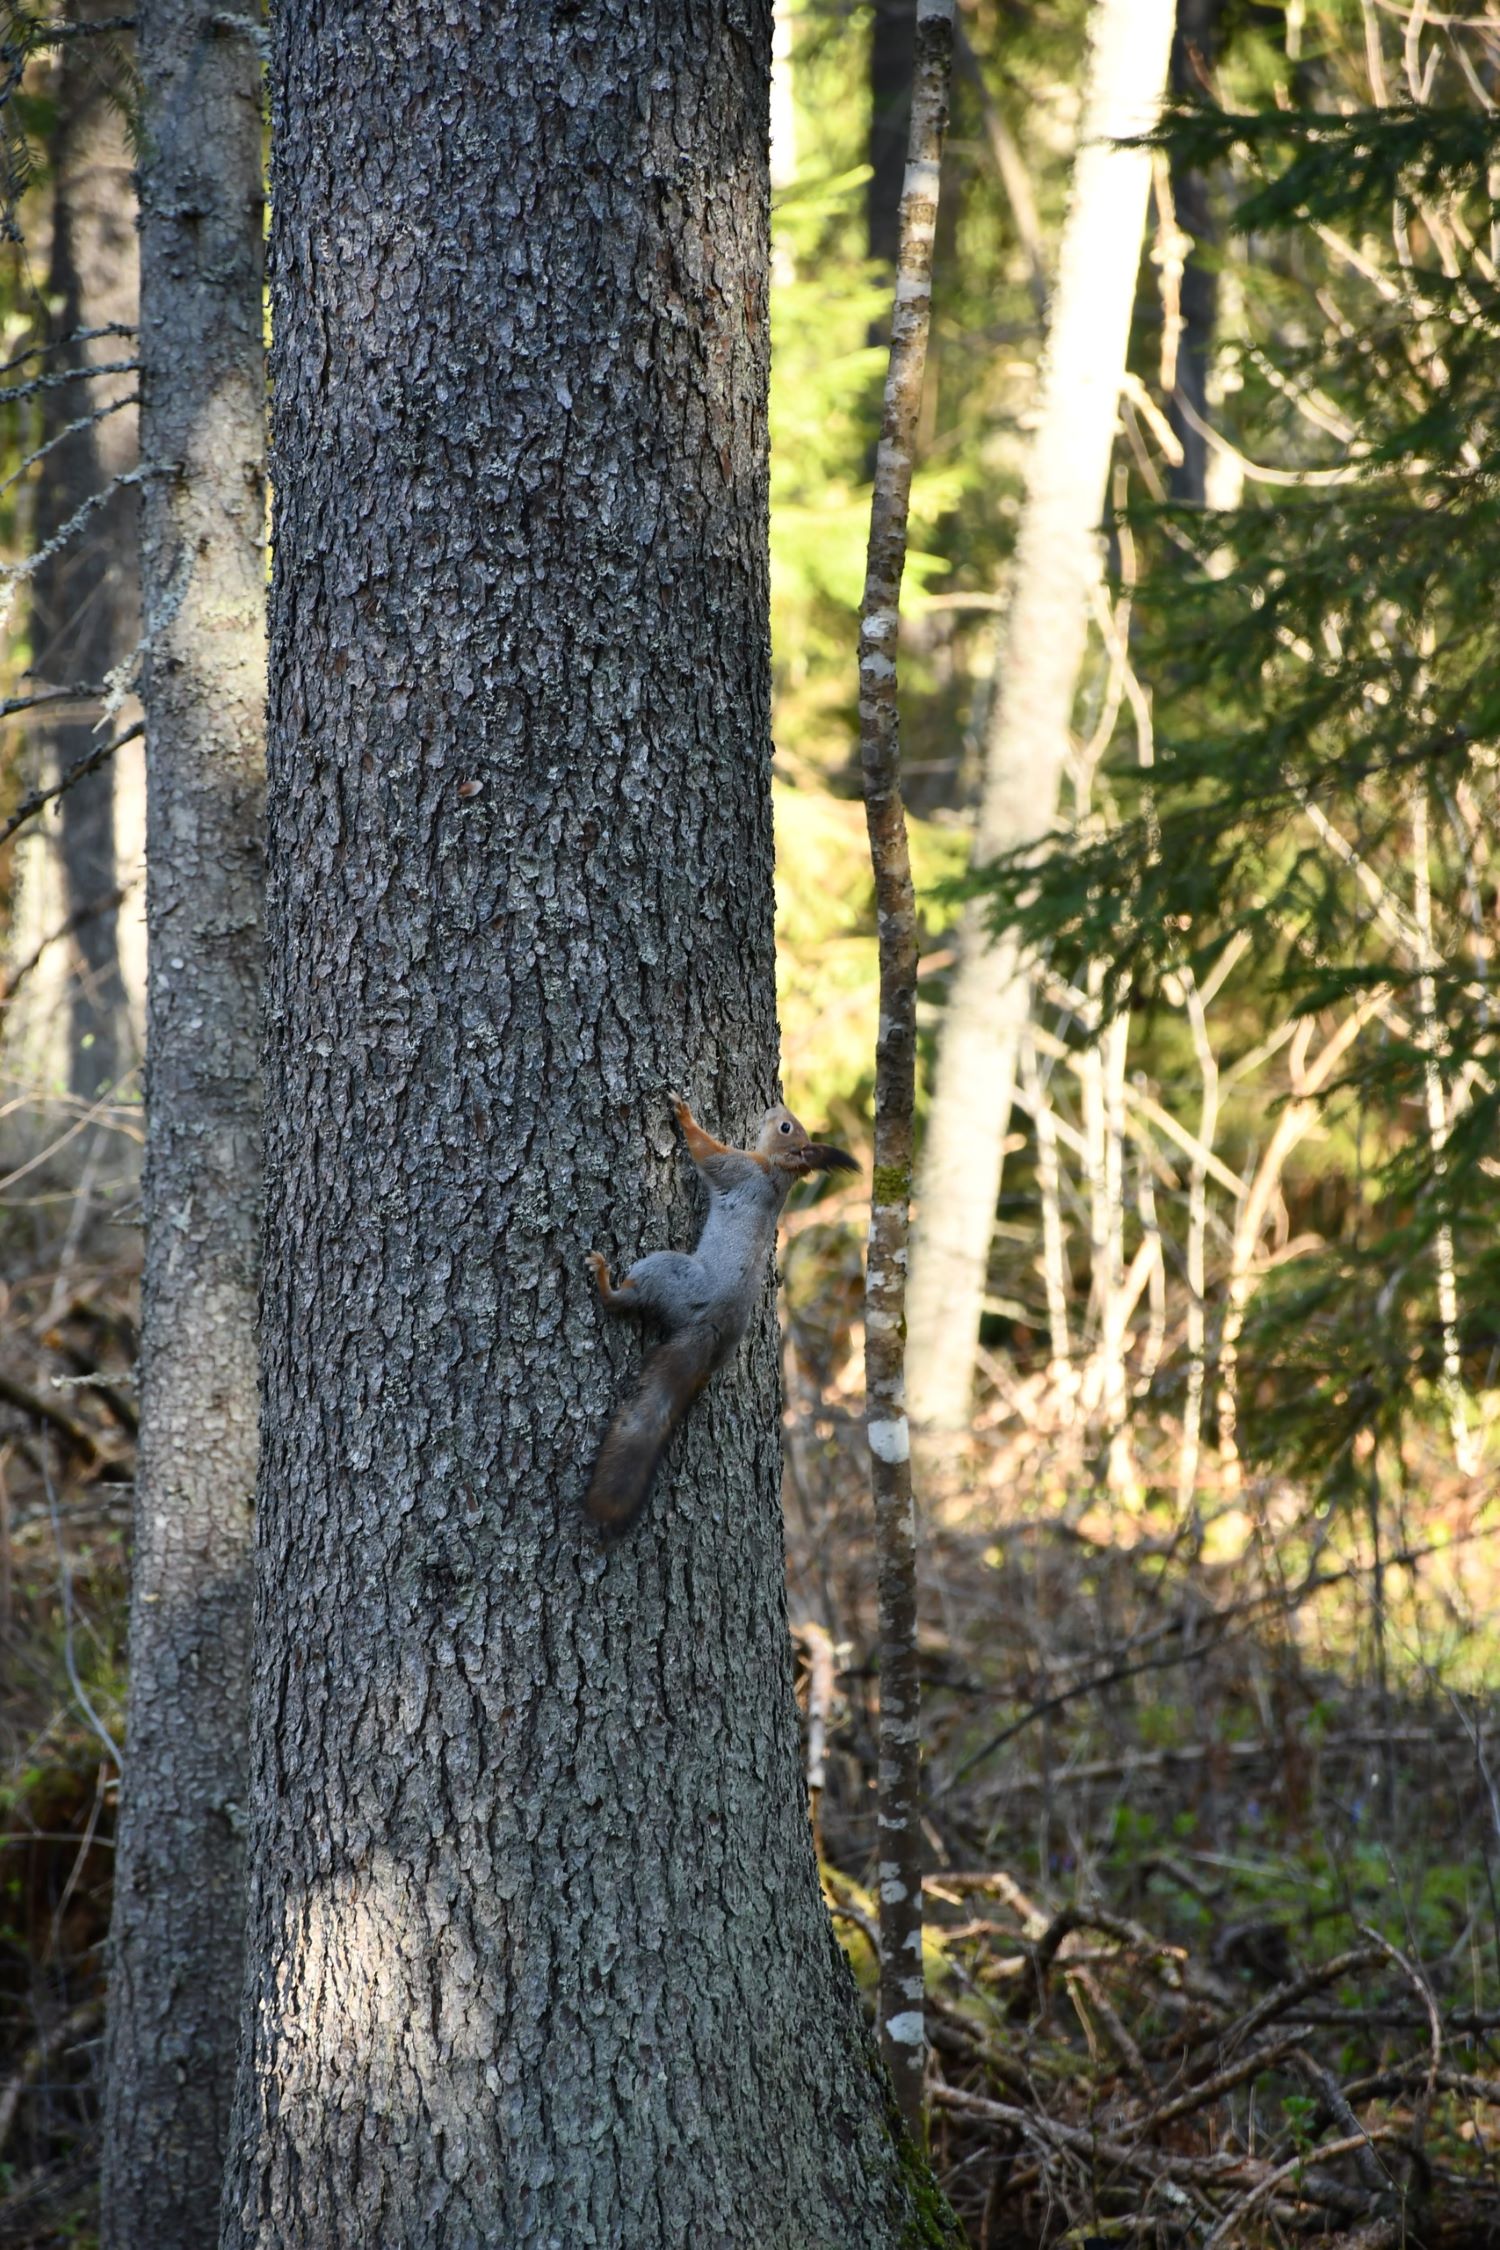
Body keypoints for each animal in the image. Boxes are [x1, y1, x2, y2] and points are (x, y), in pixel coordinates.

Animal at [583, 1093, 858, 1535]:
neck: (777, 1172)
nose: (774, 1108)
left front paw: (684, 1114)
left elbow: (705, 1151)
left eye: (786, 1128)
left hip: (670, 1273)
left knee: (625, 1299)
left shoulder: (738, 1169)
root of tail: (712, 1329)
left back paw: (606, 1280)